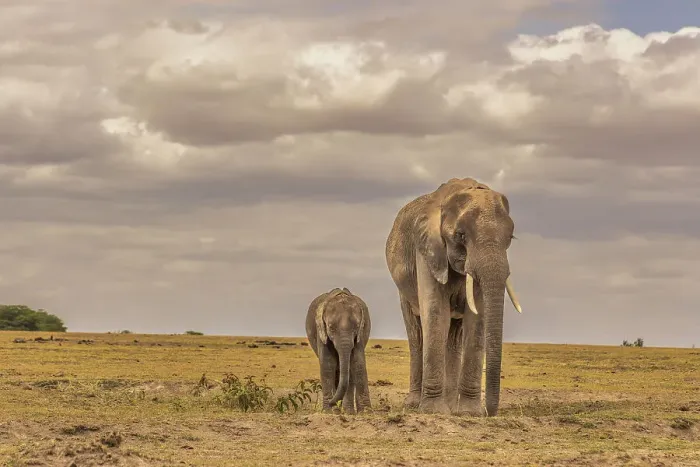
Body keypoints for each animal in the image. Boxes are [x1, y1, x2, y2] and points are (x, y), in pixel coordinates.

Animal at [385, 177, 523, 417]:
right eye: (460, 235)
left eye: (510, 238)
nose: (489, 412)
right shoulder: (427, 251)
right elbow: (436, 313)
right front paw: (433, 411)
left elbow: (477, 320)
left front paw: (469, 413)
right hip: (403, 288)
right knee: (416, 333)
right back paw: (414, 405)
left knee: (455, 336)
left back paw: (451, 407)